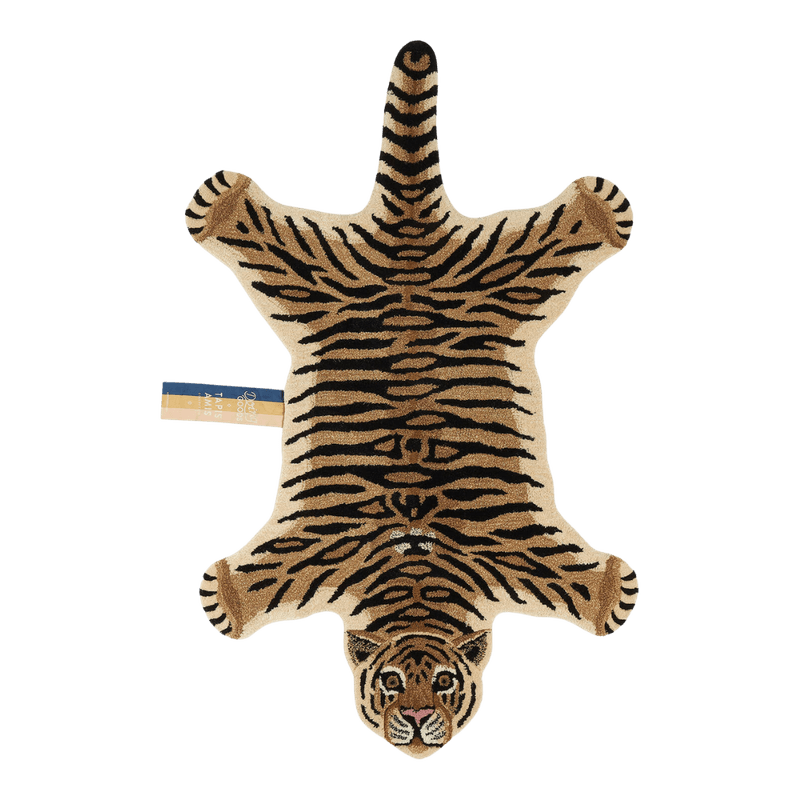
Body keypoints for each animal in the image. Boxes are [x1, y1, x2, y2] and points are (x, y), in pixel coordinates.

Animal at [184, 40, 640, 759]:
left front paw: (608, 591)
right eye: (393, 681)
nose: (421, 718)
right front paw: (226, 595)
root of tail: (409, 243)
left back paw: (595, 211)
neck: (416, 571)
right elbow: (252, 587)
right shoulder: (316, 550)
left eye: (445, 683)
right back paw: (223, 204)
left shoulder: (513, 549)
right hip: (319, 276)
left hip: (500, 273)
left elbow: (581, 587)